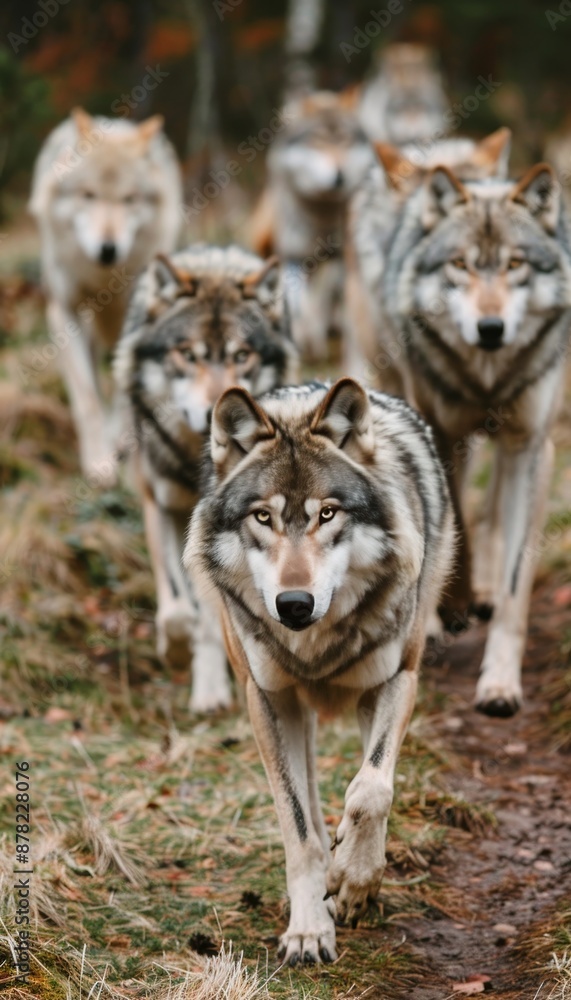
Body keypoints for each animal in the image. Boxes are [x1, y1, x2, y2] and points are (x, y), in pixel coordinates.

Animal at [29, 108, 183, 485]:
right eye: (89, 195)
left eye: (130, 199)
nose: (108, 249)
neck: (104, 279)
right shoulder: (63, 312)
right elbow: (87, 399)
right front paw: (98, 463)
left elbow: (127, 391)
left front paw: (119, 443)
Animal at [114, 244, 297, 712]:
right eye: (188, 354)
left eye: (241, 355)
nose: (218, 410)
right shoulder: (162, 505)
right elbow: (180, 610)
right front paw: (178, 654)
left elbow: (213, 615)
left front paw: (211, 687)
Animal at [185, 377, 454, 962]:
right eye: (262, 517)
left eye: (327, 513)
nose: (293, 604)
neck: (317, 646)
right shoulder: (264, 697)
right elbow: (299, 830)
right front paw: (309, 928)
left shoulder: (398, 679)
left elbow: (372, 789)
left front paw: (355, 879)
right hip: (290, 711)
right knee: (306, 800)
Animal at [251, 90, 374, 360]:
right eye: (318, 142)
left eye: (345, 142)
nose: (339, 177)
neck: (321, 216)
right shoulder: (293, 255)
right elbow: (299, 303)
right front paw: (304, 339)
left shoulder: (336, 256)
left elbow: (321, 299)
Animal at [383, 162, 571, 716]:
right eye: (461, 266)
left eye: (515, 264)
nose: (492, 328)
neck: (489, 378)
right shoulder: (441, 433)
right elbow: (457, 525)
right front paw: (455, 603)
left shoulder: (531, 447)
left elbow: (514, 581)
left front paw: (501, 684)